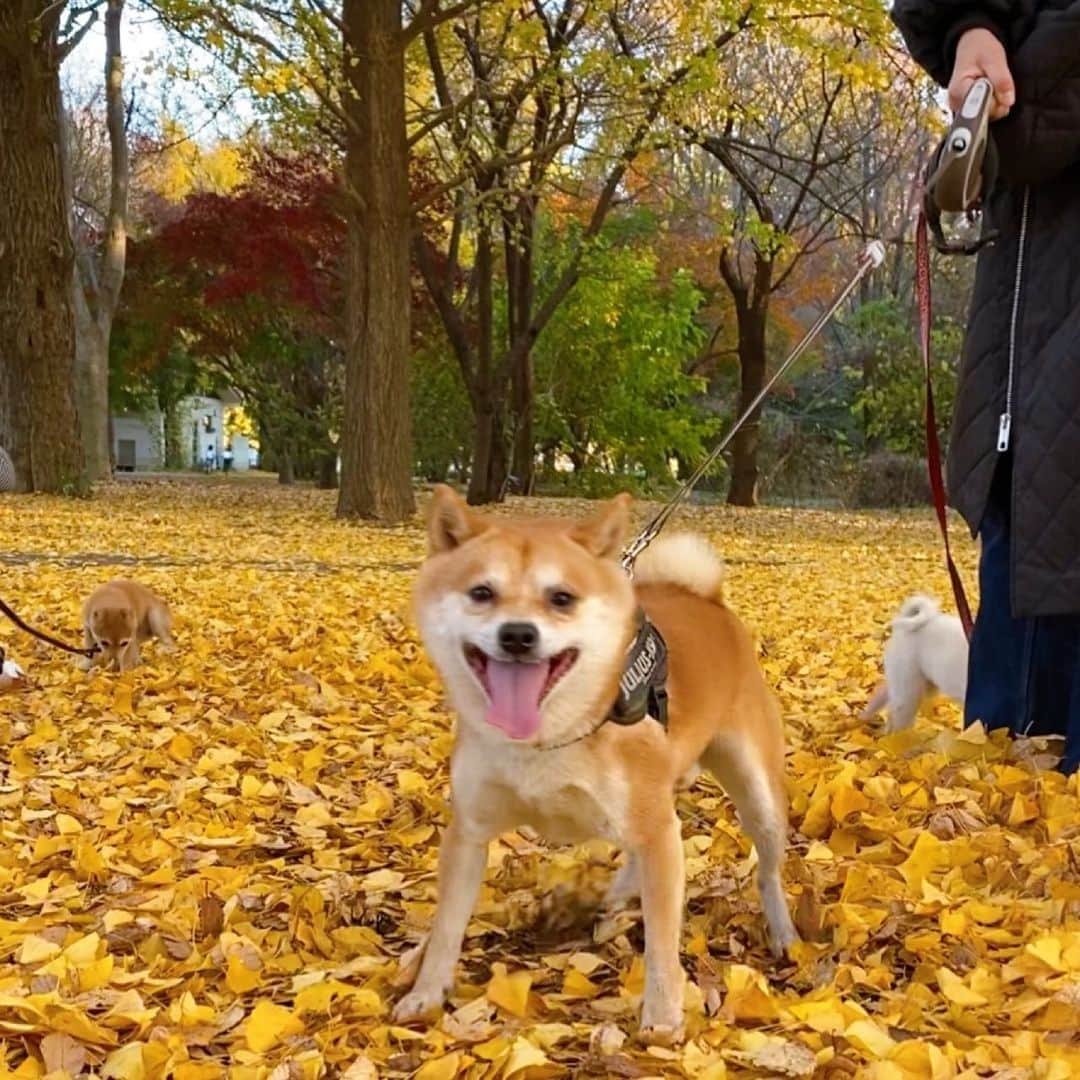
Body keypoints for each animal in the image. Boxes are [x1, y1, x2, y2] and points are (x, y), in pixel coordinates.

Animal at [393, 490, 799, 1045]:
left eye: (561, 598)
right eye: (481, 592)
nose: (517, 635)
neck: (547, 738)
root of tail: (709, 601)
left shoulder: (655, 829)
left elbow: (663, 945)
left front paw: (662, 1018)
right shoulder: (469, 831)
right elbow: (446, 927)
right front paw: (427, 993)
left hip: (756, 795)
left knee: (767, 869)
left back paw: (783, 931)